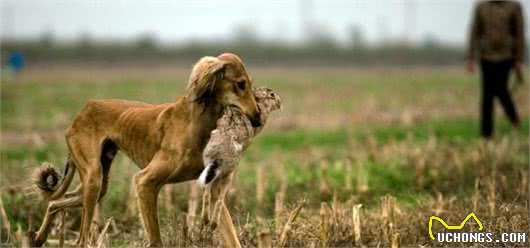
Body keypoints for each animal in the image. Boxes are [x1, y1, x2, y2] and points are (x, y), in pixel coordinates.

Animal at [30, 52, 260, 246]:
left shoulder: (213, 191)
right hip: (93, 178)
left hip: (98, 182)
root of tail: (84, 110)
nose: (257, 118)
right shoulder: (145, 182)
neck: (196, 122)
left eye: (250, 84)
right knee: (80, 239)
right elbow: (156, 239)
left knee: (55, 202)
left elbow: (231, 237)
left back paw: (39, 237)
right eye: (240, 84)